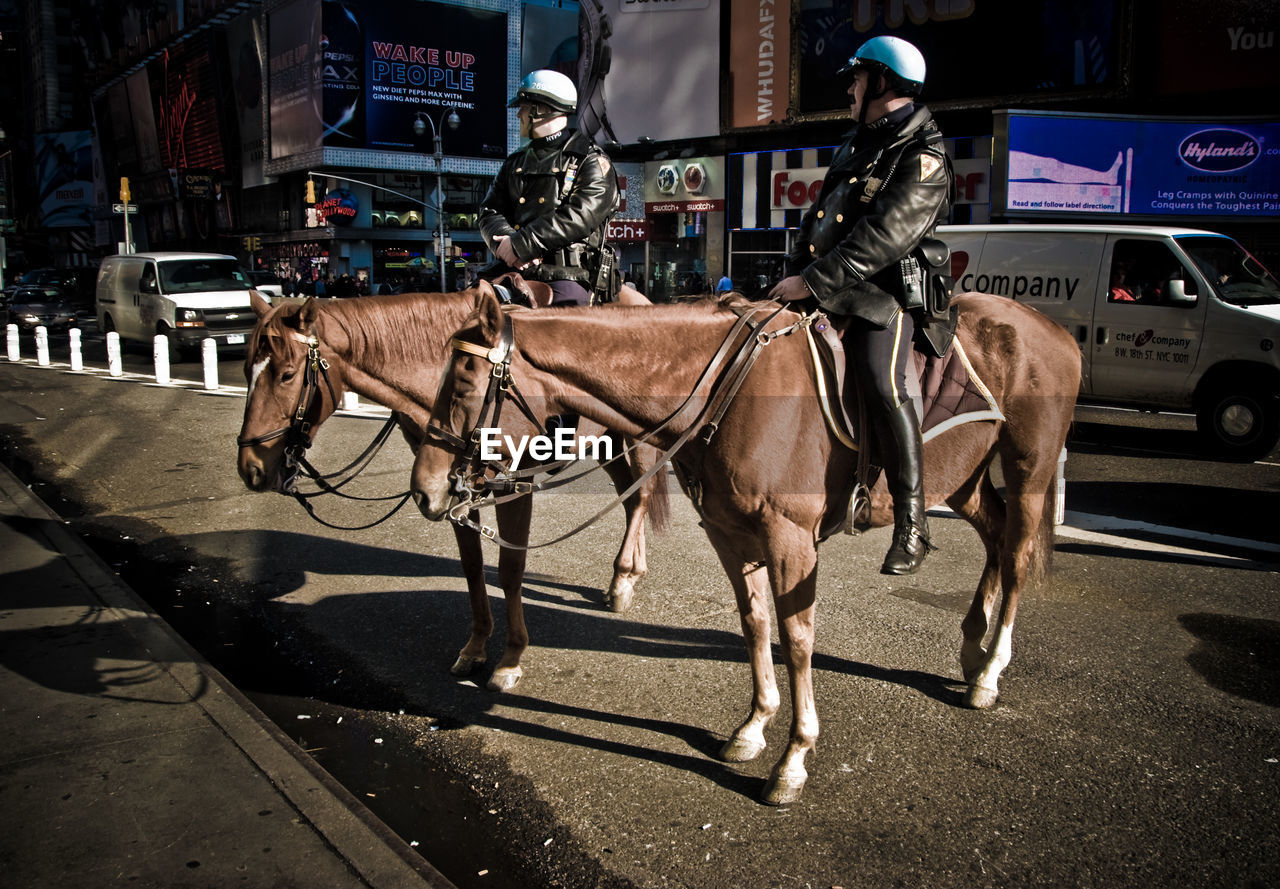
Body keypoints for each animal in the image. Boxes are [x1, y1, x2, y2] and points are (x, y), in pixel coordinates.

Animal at [235, 285, 670, 695]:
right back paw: (629, 574)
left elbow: (510, 568)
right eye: (244, 369)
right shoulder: (451, 488)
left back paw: (623, 577)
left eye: (287, 374)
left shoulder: (514, 484)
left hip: (637, 436)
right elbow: (472, 565)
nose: (251, 467)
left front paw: (511, 658)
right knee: (630, 497)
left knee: (641, 496)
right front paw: (476, 647)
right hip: (607, 440)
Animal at [412, 290, 1080, 808]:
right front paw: (755, 726)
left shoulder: (791, 540)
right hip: (964, 479)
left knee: (1016, 554)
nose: (425, 489)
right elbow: (756, 623)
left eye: (463, 383)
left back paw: (990, 670)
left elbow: (799, 640)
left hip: (1030, 470)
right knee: (995, 535)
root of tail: (1051, 329)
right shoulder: (730, 534)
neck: (723, 389)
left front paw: (794, 760)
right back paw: (973, 646)